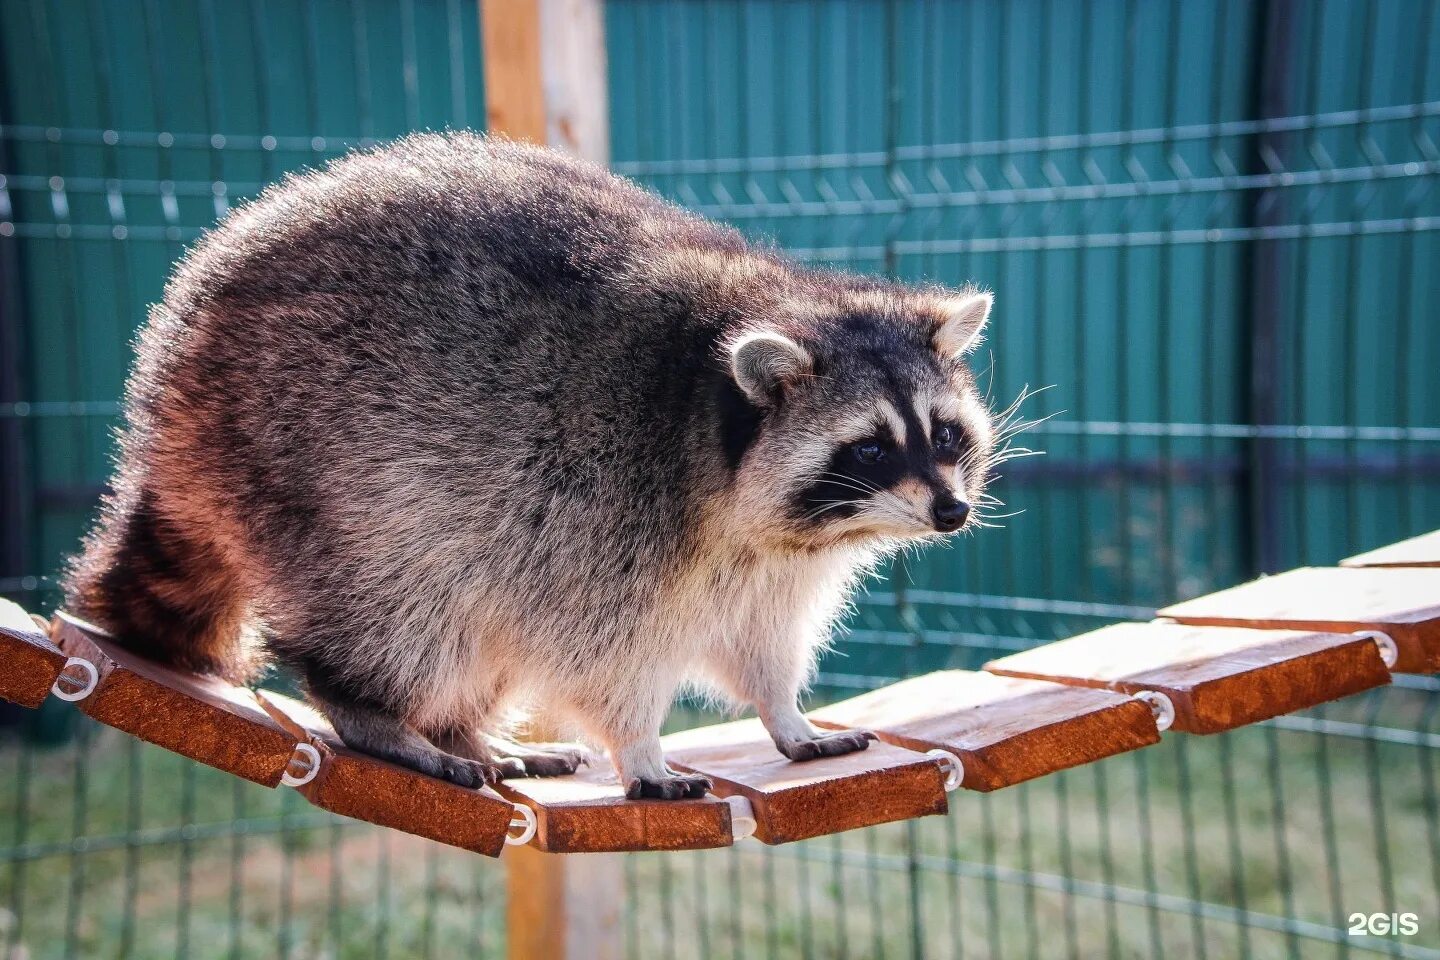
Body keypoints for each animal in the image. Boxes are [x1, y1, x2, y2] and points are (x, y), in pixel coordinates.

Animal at [61, 133, 996, 794]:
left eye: (947, 435)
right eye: (871, 446)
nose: (951, 512)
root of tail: (175, 380)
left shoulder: (762, 564)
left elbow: (760, 638)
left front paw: (785, 714)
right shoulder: (606, 506)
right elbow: (602, 654)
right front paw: (640, 747)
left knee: (478, 637)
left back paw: (461, 727)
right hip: (317, 463)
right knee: (402, 612)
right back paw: (379, 713)